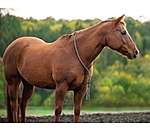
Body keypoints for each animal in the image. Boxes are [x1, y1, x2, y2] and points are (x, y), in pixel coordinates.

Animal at [2, 14, 138, 122]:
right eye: (123, 32)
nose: (135, 52)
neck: (76, 54)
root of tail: (11, 46)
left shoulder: (81, 89)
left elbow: (77, 111)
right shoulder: (61, 86)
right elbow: (58, 110)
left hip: (28, 83)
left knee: (22, 103)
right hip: (14, 81)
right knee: (14, 105)